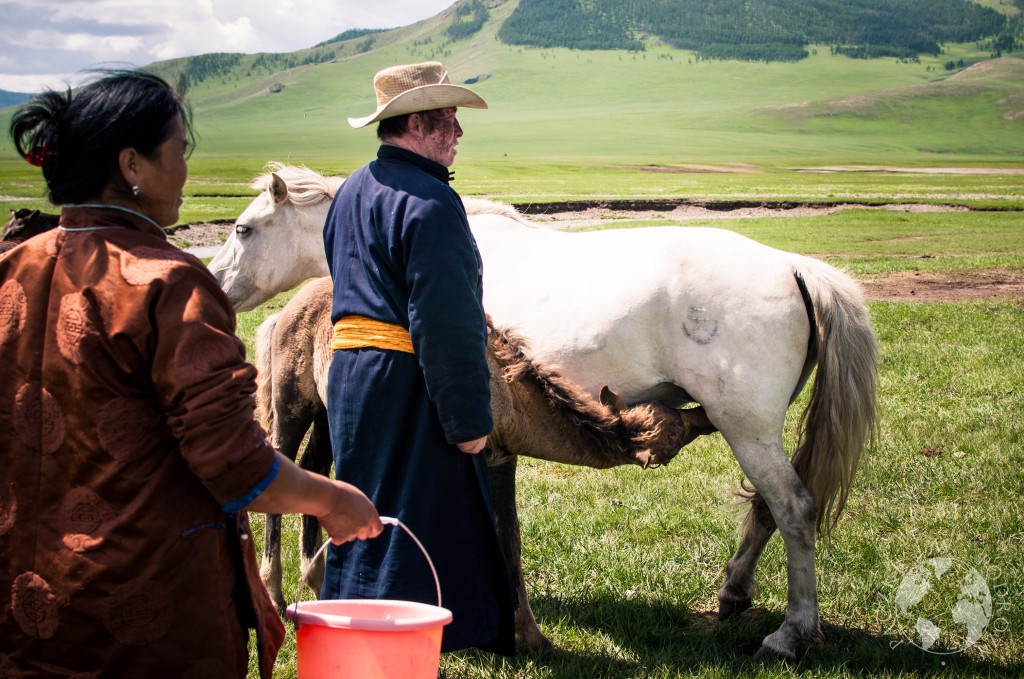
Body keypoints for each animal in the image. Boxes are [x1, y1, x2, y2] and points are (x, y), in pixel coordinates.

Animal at [209, 164, 880, 663]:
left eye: (243, 229)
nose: (219, 285)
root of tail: (793, 266)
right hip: (754, 430)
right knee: (768, 507)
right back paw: (732, 595)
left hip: (746, 428)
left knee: (793, 509)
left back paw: (790, 634)